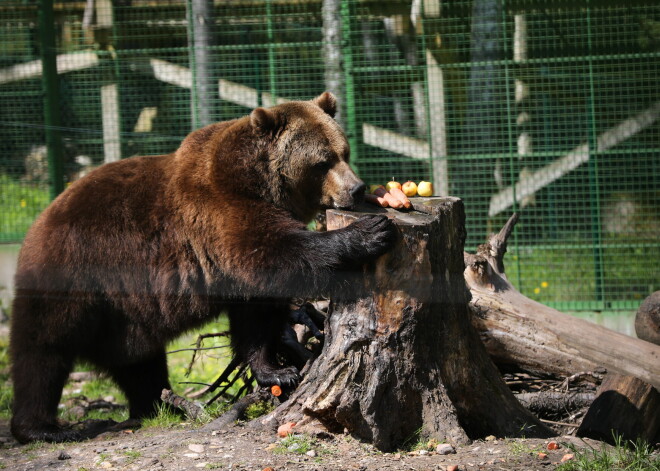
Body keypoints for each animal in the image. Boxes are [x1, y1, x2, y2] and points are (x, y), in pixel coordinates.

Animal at [10, 93, 398, 446]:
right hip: (75, 277)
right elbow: (277, 253)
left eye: (344, 152)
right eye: (322, 161)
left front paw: (275, 370)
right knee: (42, 354)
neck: (263, 185)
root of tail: (40, 221)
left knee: (139, 362)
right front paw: (370, 231)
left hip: (123, 314)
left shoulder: (235, 268)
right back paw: (42, 428)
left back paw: (160, 405)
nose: (357, 188)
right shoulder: (220, 212)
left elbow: (256, 316)